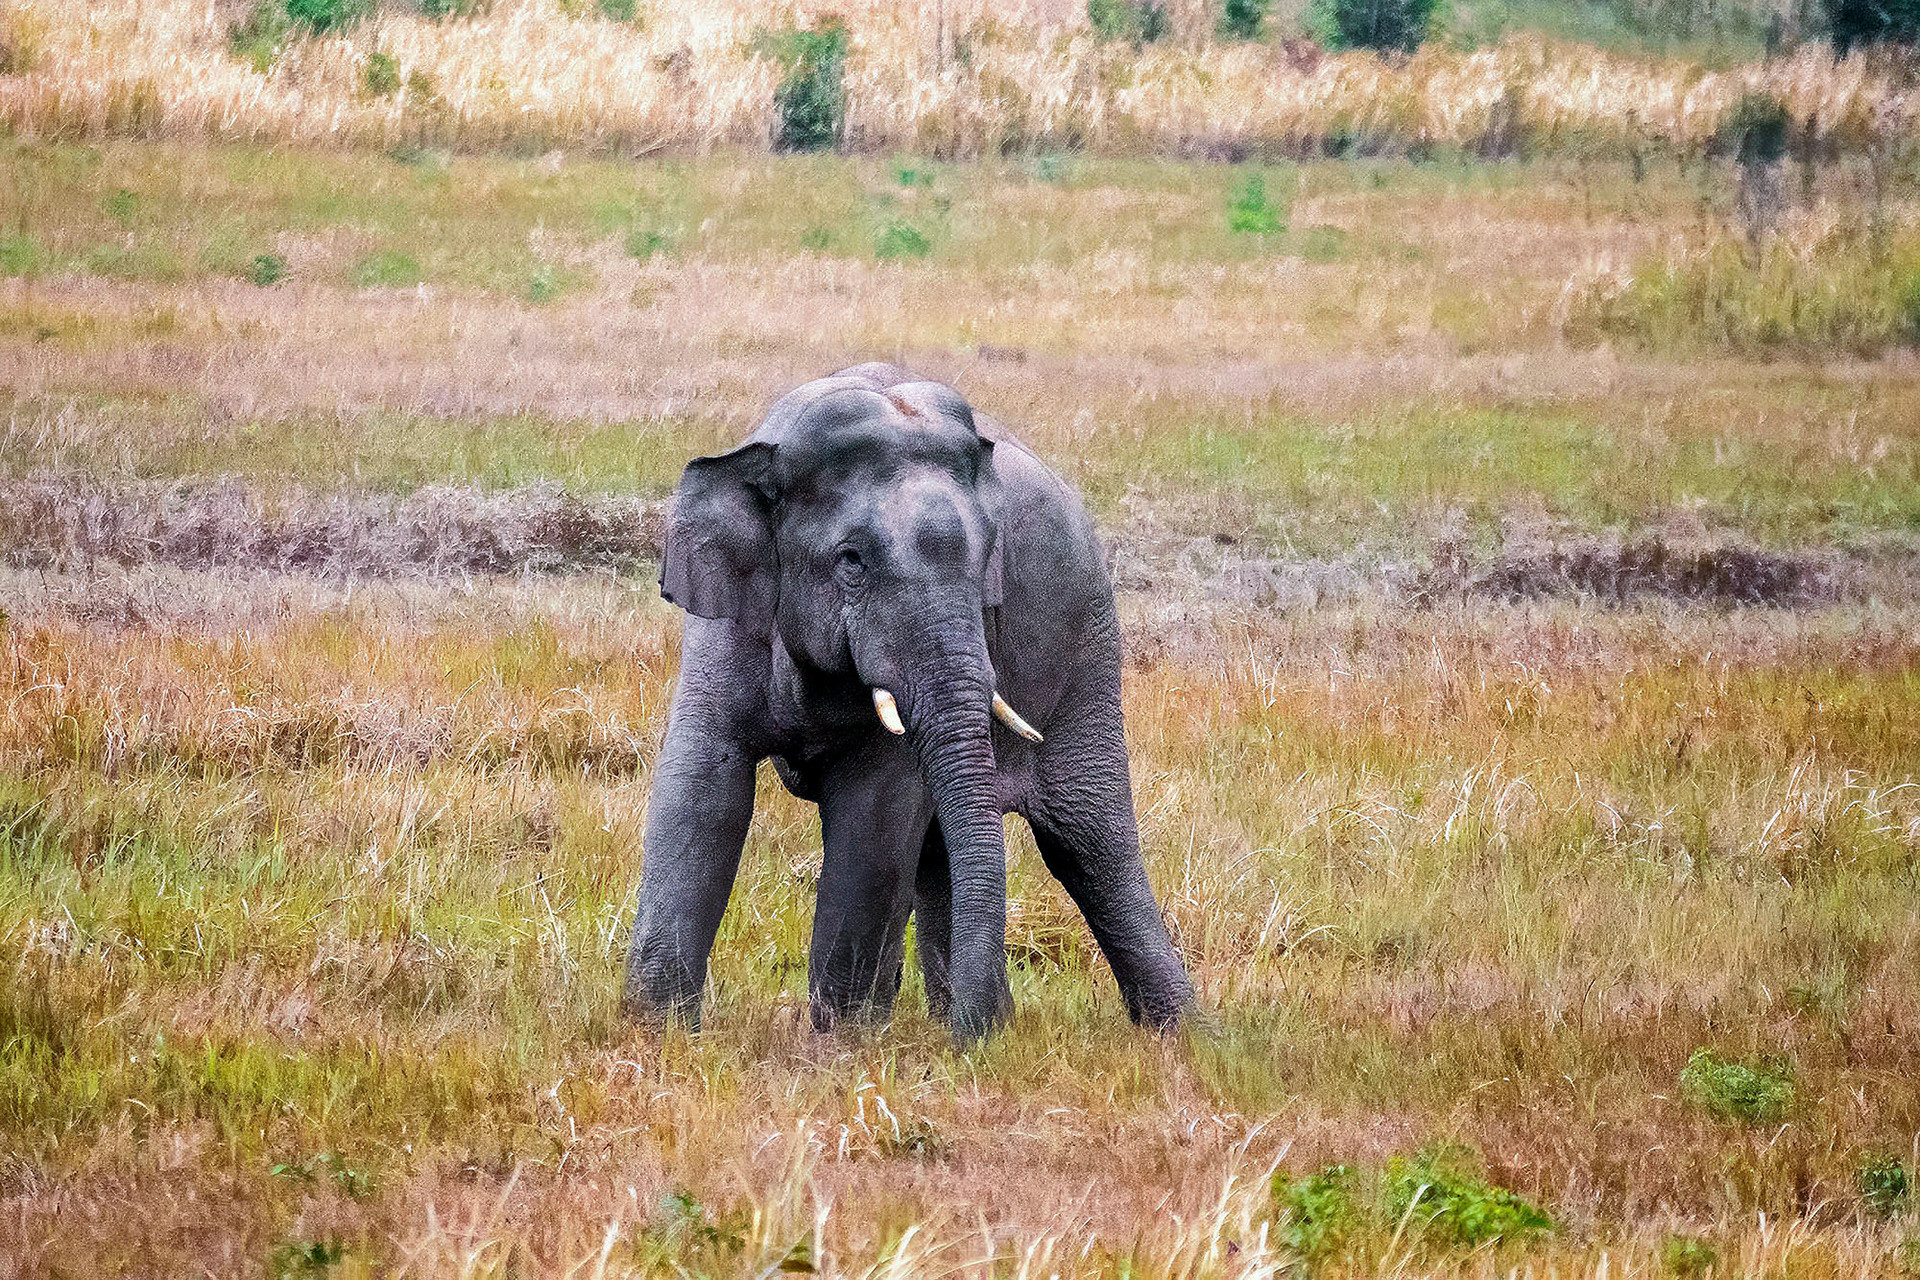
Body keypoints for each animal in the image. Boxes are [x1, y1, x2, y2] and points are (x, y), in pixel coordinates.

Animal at [621, 363, 1192, 1039]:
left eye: (986, 563)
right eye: (851, 561)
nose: (972, 1040)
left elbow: (874, 814)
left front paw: (841, 1044)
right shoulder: (727, 620)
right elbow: (702, 788)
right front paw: (656, 1032)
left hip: (1088, 643)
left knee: (1088, 843)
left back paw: (1186, 1038)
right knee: (954, 845)